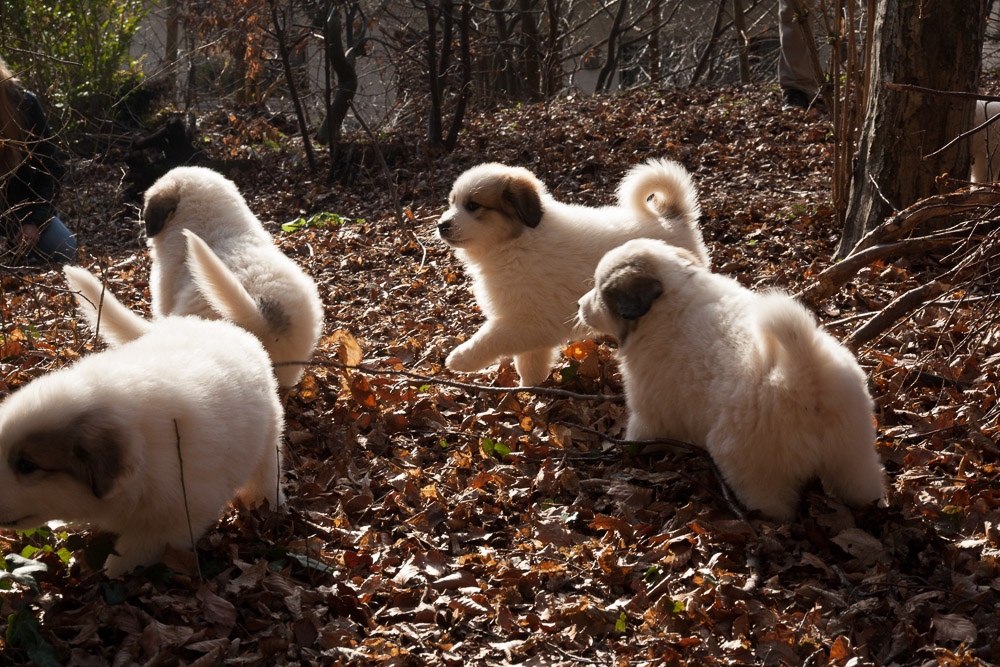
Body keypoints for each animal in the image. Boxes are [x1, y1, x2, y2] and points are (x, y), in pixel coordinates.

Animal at [0, 310, 286, 576]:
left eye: (27, 465)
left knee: (266, 472)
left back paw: (269, 503)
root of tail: (220, 325)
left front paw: (108, 575)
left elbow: (128, 557)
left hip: (268, 436)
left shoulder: (175, 518)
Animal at [438, 158, 712, 386]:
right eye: (452, 203)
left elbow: (490, 338)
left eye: (472, 205)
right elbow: (529, 364)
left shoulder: (529, 321)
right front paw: (528, 392)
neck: (515, 243)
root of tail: (671, 217)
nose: (441, 225)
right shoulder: (529, 325)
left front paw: (459, 359)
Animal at [576, 240, 888, 520]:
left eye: (601, 292)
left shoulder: (649, 409)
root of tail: (803, 373)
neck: (673, 298)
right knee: (864, 484)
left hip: (751, 464)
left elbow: (638, 435)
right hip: (853, 453)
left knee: (774, 504)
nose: (579, 304)